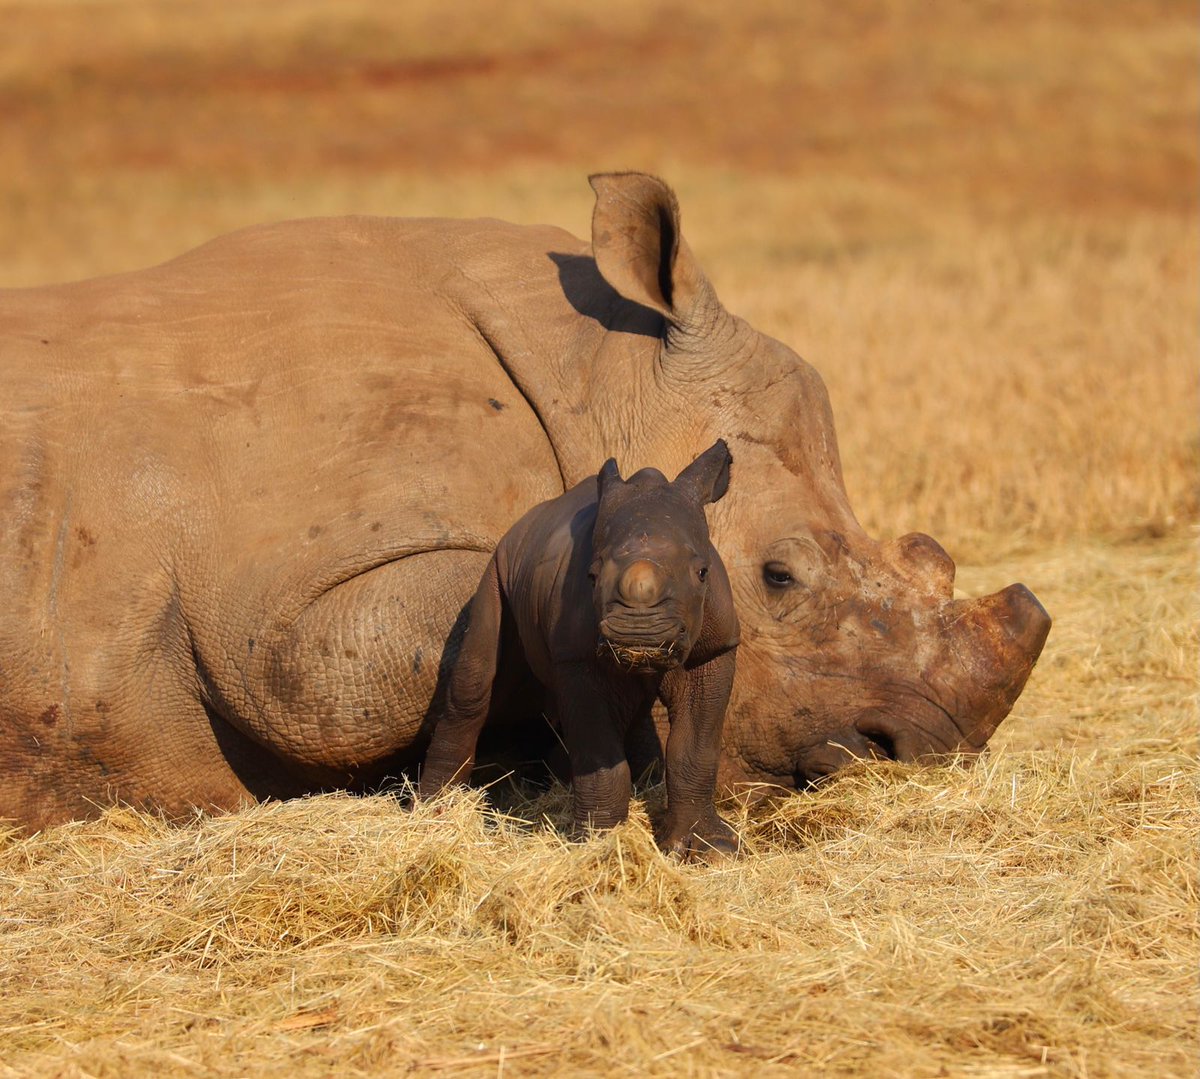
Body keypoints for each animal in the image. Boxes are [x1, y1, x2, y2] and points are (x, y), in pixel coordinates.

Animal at [421, 441, 740, 856]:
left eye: (702, 573)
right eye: (591, 576)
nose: (639, 632)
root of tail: (523, 523)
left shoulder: (714, 649)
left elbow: (694, 748)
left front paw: (710, 848)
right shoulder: (578, 658)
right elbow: (599, 754)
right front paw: (598, 845)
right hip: (496, 568)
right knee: (476, 681)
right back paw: (434, 815)